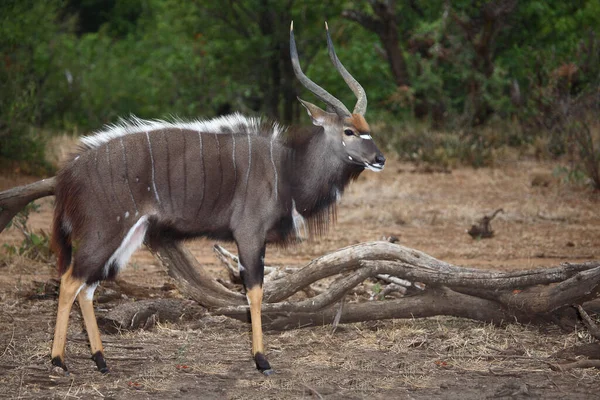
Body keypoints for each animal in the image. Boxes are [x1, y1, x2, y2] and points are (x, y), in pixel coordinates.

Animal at [50, 23, 384, 376]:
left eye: (367, 127)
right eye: (349, 131)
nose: (380, 159)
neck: (288, 168)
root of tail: (70, 173)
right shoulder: (249, 233)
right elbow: (254, 291)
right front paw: (261, 360)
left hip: (129, 235)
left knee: (88, 287)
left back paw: (101, 360)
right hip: (104, 231)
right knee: (70, 281)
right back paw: (58, 361)